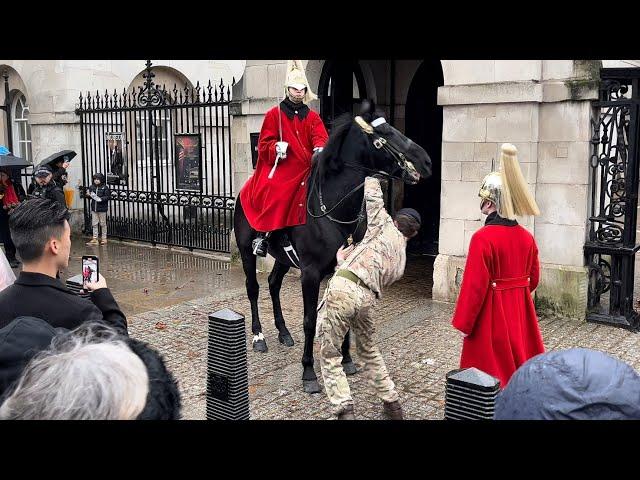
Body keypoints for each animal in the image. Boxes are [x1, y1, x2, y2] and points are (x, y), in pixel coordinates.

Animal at [232, 102, 432, 394]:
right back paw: (258, 336)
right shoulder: (311, 273)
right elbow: (309, 321)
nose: (426, 161)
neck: (334, 211)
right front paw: (308, 372)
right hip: (247, 250)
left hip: (283, 258)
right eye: (384, 133)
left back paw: (283, 332)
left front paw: (346, 360)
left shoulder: (340, 268)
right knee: (253, 288)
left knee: (273, 283)